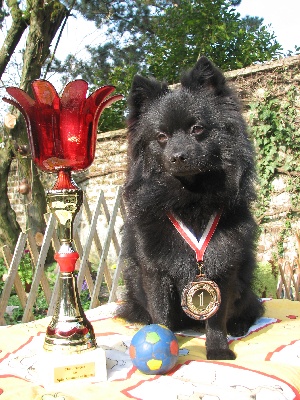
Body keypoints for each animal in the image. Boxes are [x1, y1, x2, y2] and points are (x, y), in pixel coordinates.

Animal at [116, 57, 264, 360]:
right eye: (161, 136)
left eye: (197, 129)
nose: (177, 156)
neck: (190, 199)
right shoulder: (154, 271)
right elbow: (161, 314)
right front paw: (162, 341)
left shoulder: (223, 267)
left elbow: (216, 318)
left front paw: (218, 350)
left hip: (245, 282)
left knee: (253, 306)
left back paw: (240, 324)